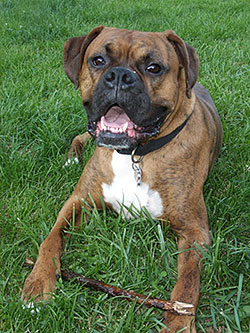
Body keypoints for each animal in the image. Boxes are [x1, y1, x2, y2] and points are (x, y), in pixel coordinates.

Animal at [22, 26, 223, 332]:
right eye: (98, 60)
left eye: (153, 68)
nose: (119, 76)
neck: (135, 155)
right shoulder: (78, 202)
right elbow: (51, 240)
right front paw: (38, 282)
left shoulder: (194, 231)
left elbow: (188, 283)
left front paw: (178, 322)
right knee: (79, 137)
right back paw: (71, 158)